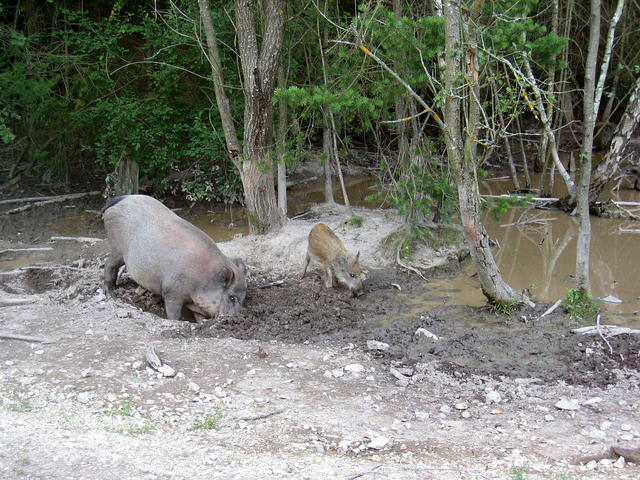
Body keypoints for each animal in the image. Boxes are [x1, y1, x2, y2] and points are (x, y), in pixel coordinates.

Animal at [102, 194, 247, 320]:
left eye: (243, 298)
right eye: (232, 297)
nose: (236, 318)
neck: (203, 279)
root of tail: (121, 198)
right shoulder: (172, 291)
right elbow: (173, 314)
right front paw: (179, 321)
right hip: (117, 247)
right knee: (108, 265)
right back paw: (111, 293)